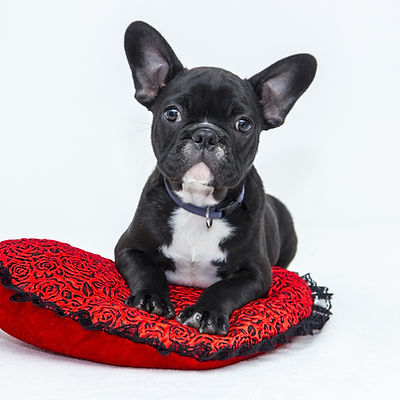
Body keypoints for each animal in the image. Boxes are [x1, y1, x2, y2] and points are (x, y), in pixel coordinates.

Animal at [114, 21, 318, 334]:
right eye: (172, 114)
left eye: (243, 124)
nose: (206, 134)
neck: (200, 206)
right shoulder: (128, 248)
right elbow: (145, 270)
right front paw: (150, 298)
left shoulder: (257, 273)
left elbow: (225, 289)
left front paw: (205, 312)